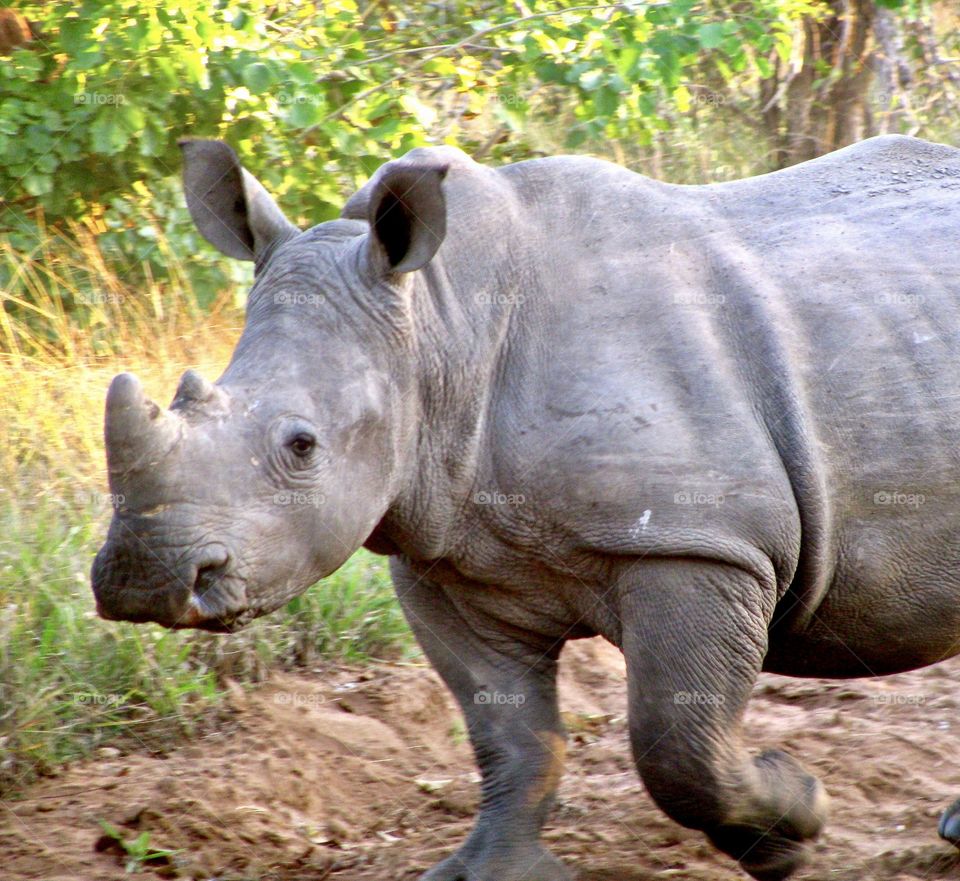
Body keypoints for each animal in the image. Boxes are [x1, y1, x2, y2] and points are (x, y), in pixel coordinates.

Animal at [92, 133, 960, 880]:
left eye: (302, 445)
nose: (144, 576)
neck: (439, 327)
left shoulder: (702, 539)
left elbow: (678, 743)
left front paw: (792, 826)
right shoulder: (441, 555)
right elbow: (508, 734)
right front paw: (486, 872)